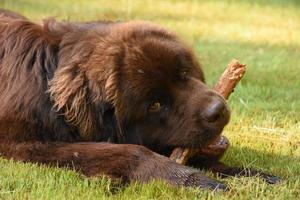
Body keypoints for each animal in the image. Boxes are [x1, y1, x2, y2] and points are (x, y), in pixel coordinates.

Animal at [0, 9, 278, 191]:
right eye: (155, 105)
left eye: (183, 73)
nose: (217, 110)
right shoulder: (19, 145)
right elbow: (130, 151)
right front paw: (187, 178)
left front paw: (252, 175)